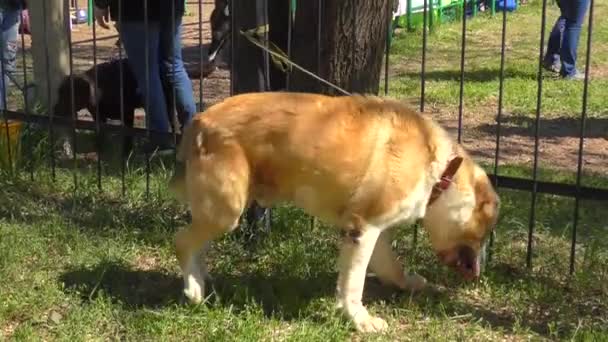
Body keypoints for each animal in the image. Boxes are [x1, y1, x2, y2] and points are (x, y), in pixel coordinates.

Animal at [170, 92, 498, 332]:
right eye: (486, 231)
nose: (481, 269)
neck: (442, 172)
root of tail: (200, 120)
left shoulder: (376, 233)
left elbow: (391, 267)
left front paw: (407, 284)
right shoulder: (363, 230)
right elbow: (354, 283)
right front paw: (361, 321)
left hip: (220, 210)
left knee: (198, 244)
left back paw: (199, 279)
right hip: (226, 210)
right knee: (182, 242)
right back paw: (194, 292)